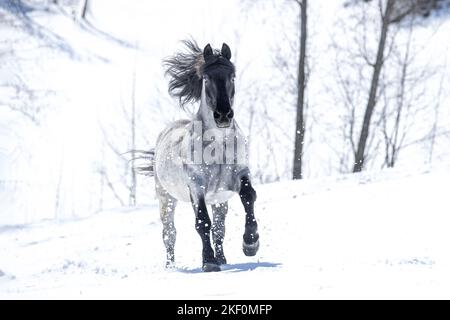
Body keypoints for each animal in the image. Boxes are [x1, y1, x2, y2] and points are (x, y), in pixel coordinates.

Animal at [142, 38, 260, 272]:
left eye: (232, 76)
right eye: (206, 78)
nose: (223, 115)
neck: (218, 146)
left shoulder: (239, 175)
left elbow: (248, 196)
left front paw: (251, 243)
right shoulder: (197, 186)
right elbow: (202, 222)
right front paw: (208, 261)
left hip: (219, 200)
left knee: (219, 228)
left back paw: (223, 258)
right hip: (166, 198)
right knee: (169, 233)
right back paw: (171, 265)